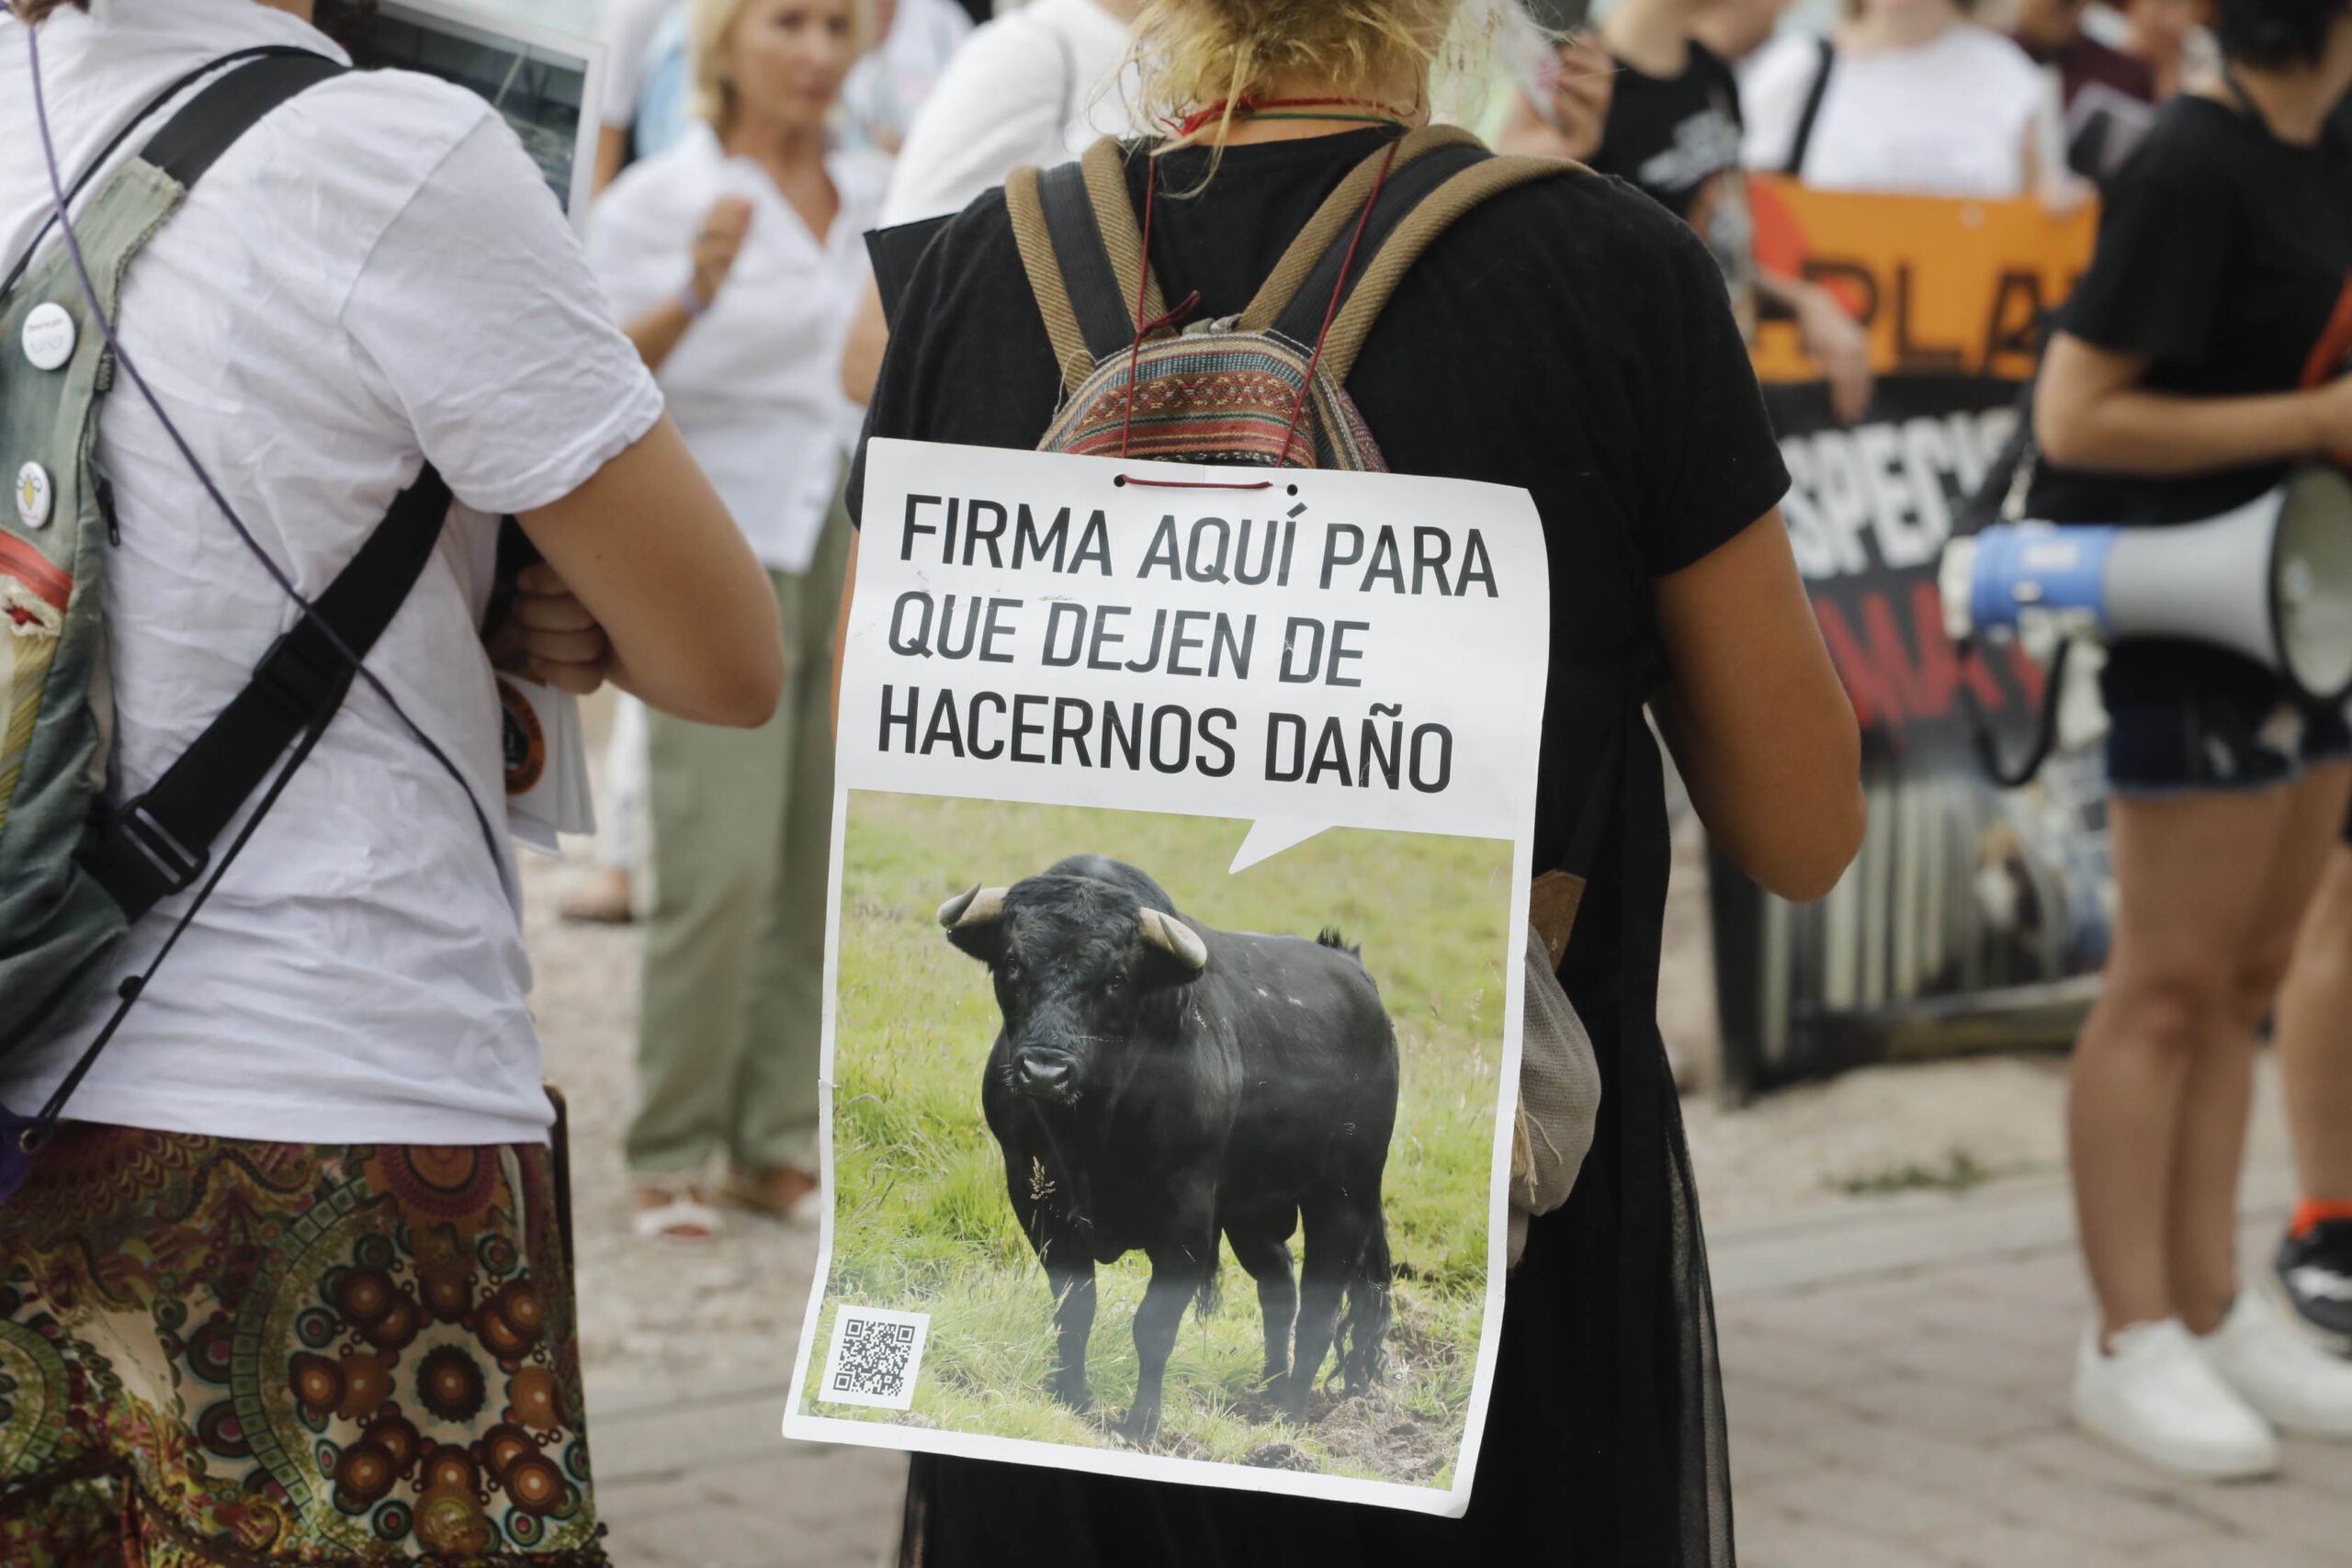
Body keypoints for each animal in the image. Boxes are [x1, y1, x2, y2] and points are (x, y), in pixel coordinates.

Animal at [945, 860, 1401, 1448]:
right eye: (1012, 964)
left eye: (1116, 979)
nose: (1044, 1071)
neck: (1090, 1131)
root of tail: (1353, 970)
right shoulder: (1035, 1195)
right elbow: (1075, 1307)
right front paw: (1070, 1396)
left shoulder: (1185, 1219)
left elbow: (1154, 1326)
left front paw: (1142, 1424)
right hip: (1252, 1210)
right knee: (1278, 1284)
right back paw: (1269, 1388)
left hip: (1344, 1196)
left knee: (1319, 1309)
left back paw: (1289, 1414)